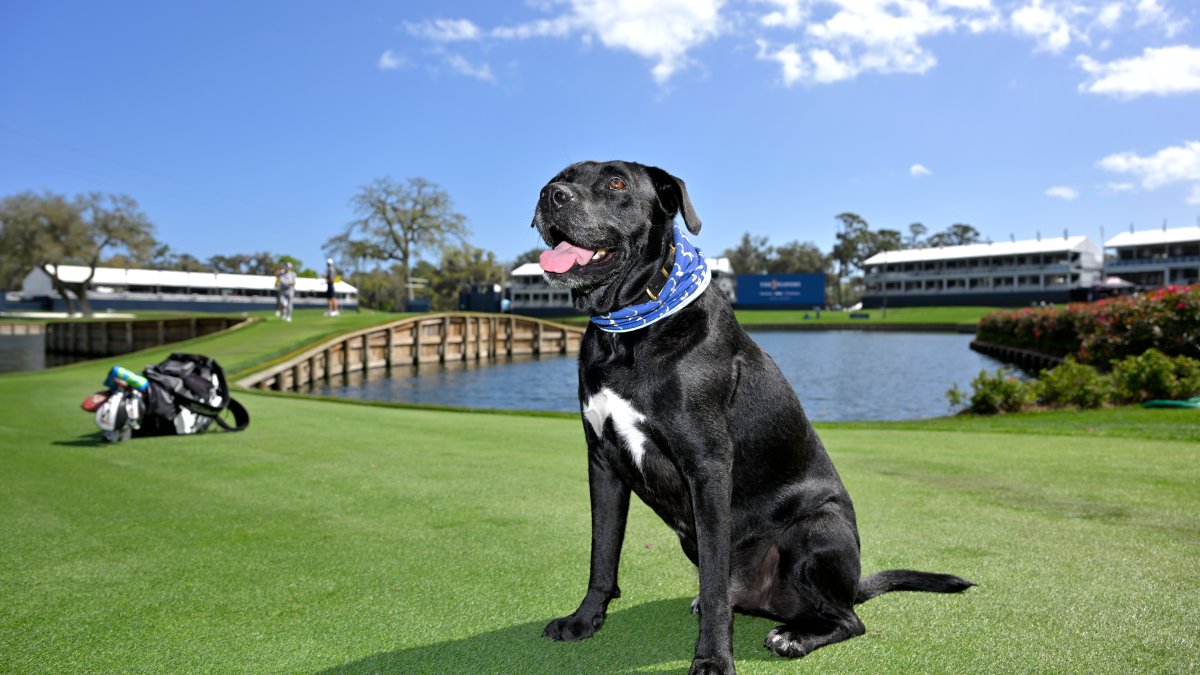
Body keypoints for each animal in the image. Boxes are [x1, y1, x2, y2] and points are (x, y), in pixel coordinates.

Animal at [537, 159, 974, 667]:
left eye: (616, 183)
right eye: (563, 175)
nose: (551, 194)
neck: (630, 328)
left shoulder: (707, 466)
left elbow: (713, 582)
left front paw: (712, 659)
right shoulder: (603, 463)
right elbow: (602, 554)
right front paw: (584, 621)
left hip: (817, 528)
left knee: (849, 620)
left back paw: (796, 636)